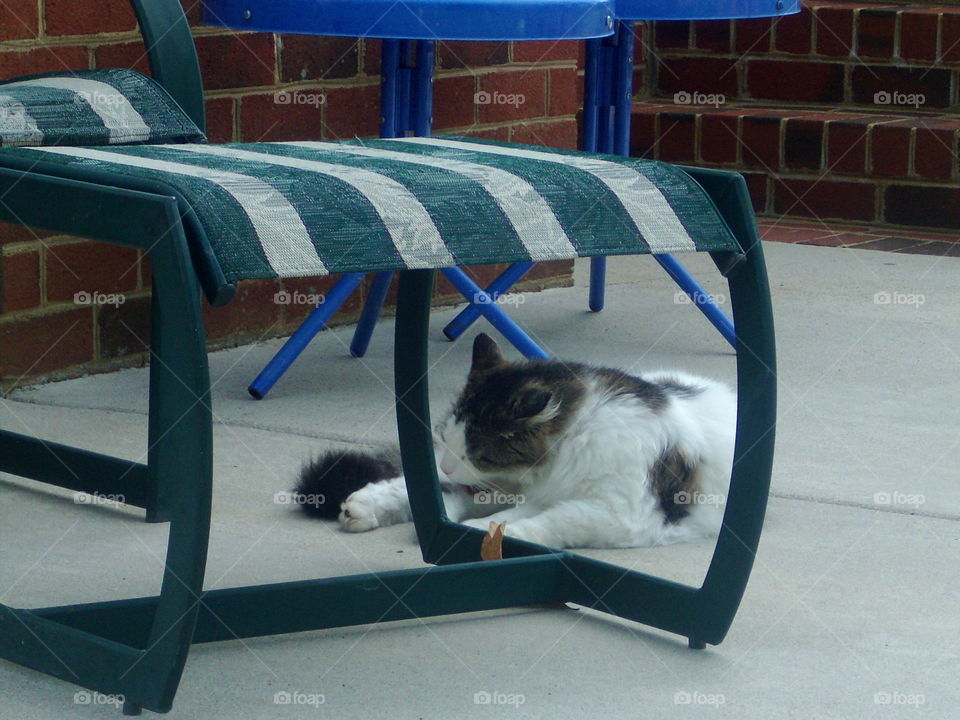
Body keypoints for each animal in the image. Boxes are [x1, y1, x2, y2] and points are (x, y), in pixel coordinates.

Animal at [292, 334, 736, 548]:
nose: (449, 461)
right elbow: (426, 489)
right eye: (446, 437)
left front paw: (482, 534)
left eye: (479, 452)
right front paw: (370, 505)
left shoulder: (620, 515)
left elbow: (546, 521)